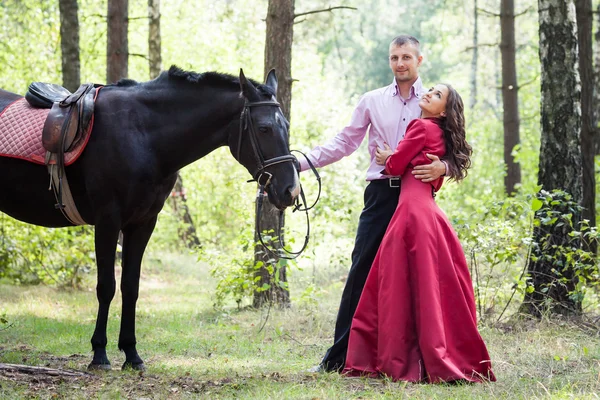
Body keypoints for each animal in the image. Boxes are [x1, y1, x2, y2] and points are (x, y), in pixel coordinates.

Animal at [0, 67, 300, 370]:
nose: (290, 190)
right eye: (264, 128)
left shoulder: (143, 223)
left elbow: (130, 287)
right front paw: (100, 354)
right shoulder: (108, 221)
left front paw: (131, 353)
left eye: (286, 125)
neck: (142, 136)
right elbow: (106, 287)